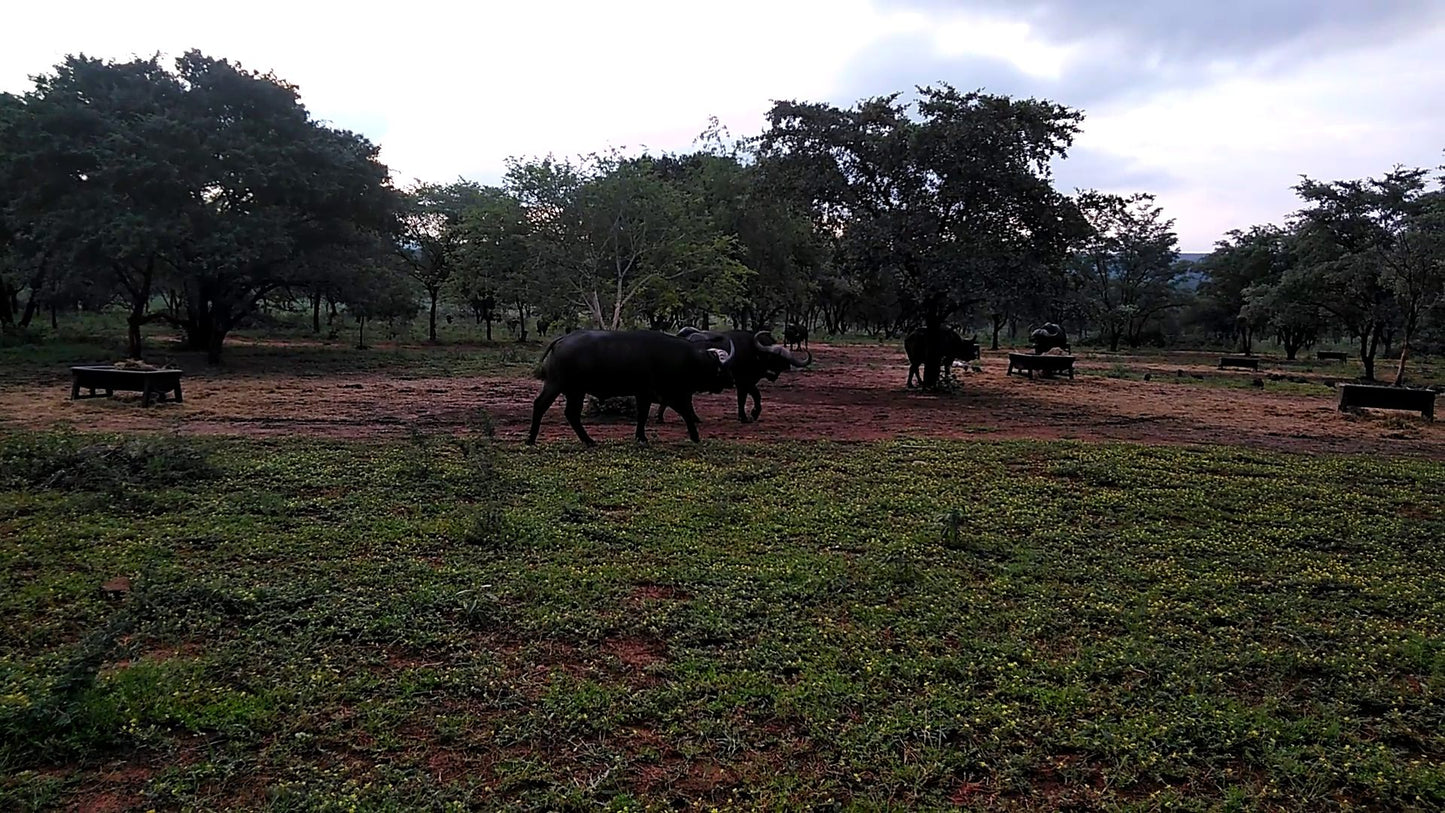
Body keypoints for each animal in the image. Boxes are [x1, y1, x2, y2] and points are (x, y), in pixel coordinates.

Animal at [525, 329, 734, 447]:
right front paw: (695, 436)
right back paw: (531, 440)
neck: (684, 358)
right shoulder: (660, 393)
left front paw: (641, 437)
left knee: (571, 414)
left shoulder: (646, 394)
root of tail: (561, 340)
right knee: (540, 405)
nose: (730, 382)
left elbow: (644, 415)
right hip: (557, 385)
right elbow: (685, 412)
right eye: (719, 367)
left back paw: (589, 441)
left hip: (575, 391)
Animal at [658, 326, 814, 424]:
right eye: (770, 357)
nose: (771, 374)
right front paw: (747, 416)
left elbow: (750, 397)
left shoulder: (747, 383)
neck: (754, 352)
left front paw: (749, 414)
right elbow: (748, 398)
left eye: (781, 362)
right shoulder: (743, 381)